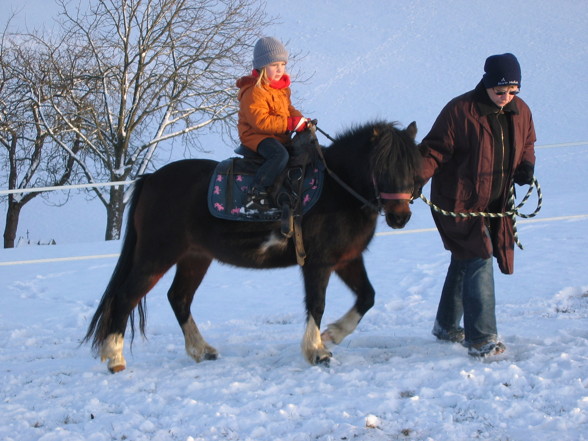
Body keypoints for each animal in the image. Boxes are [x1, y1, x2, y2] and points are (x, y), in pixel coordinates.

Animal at [84, 120, 422, 372]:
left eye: (413, 167)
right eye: (382, 167)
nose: (400, 216)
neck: (338, 188)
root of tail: (152, 179)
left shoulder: (347, 260)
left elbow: (367, 297)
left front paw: (334, 335)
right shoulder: (318, 263)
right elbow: (316, 304)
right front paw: (316, 350)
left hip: (195, 258)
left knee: (178, 298)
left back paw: (201, 350)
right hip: (156, 256)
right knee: (126, 296)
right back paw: (115, 358)